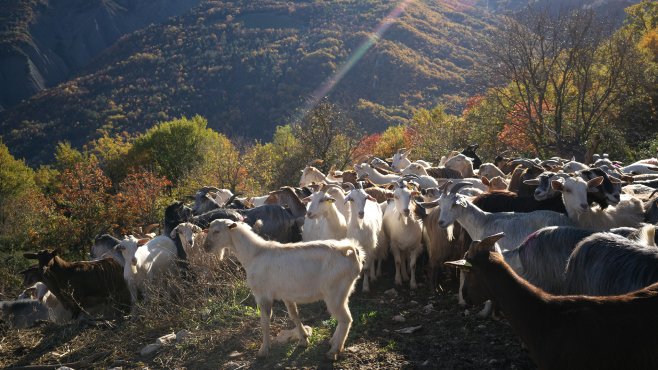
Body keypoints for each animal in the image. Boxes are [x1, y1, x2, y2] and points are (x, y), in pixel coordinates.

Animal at [202, 220, 362, 358]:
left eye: (217, 231)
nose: (205, 247)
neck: (254, 254)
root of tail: (350, 251)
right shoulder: (287, 294)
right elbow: (294, 315)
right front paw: (304, 339)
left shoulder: (262, 295)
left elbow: (265, 322)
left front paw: (264, 350)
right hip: (343, 292)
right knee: (343, 318)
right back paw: (333, 342)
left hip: (334, 293)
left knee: (346, 319)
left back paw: (334, 351)